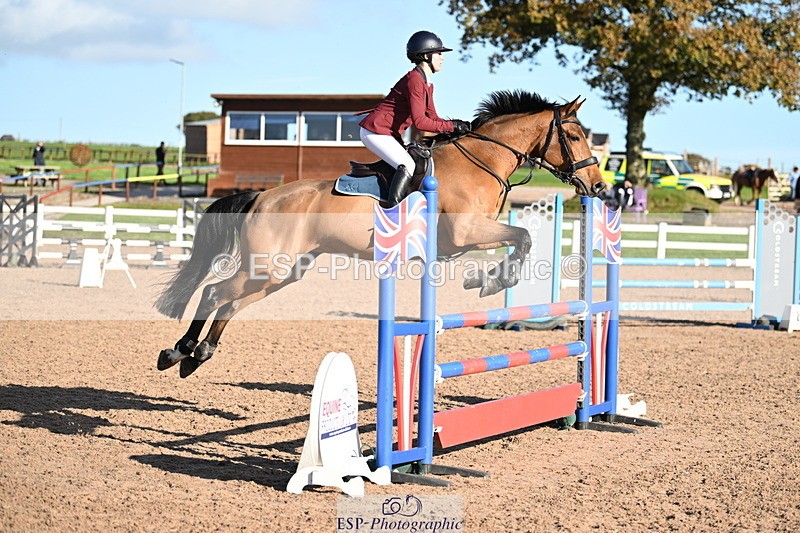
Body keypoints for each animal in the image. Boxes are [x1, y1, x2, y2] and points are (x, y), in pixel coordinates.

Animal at [154, 90, 606, 378]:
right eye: (575, 136)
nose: (599, 187)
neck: (481, 160)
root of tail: (262, 195)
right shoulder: (465, 234)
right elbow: (522, 236)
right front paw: (495, 281)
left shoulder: (472, 237)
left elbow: (519, 238)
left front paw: (487, 278)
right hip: (265, 267)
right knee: (214, 292)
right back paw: (178, 351)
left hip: (283, 272)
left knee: (229, 303)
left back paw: (197, 355)